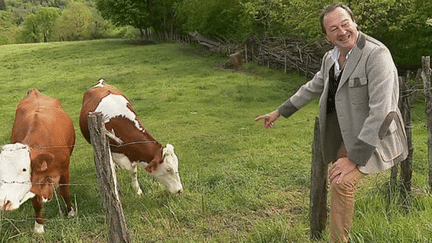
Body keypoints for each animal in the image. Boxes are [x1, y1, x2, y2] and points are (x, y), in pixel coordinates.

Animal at [0, 88, 75, 233]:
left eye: (24, 169)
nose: (3, 202)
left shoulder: (65, 170)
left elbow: (65, 192)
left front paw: (70, 212)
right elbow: (36, 203)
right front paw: (39, 227)